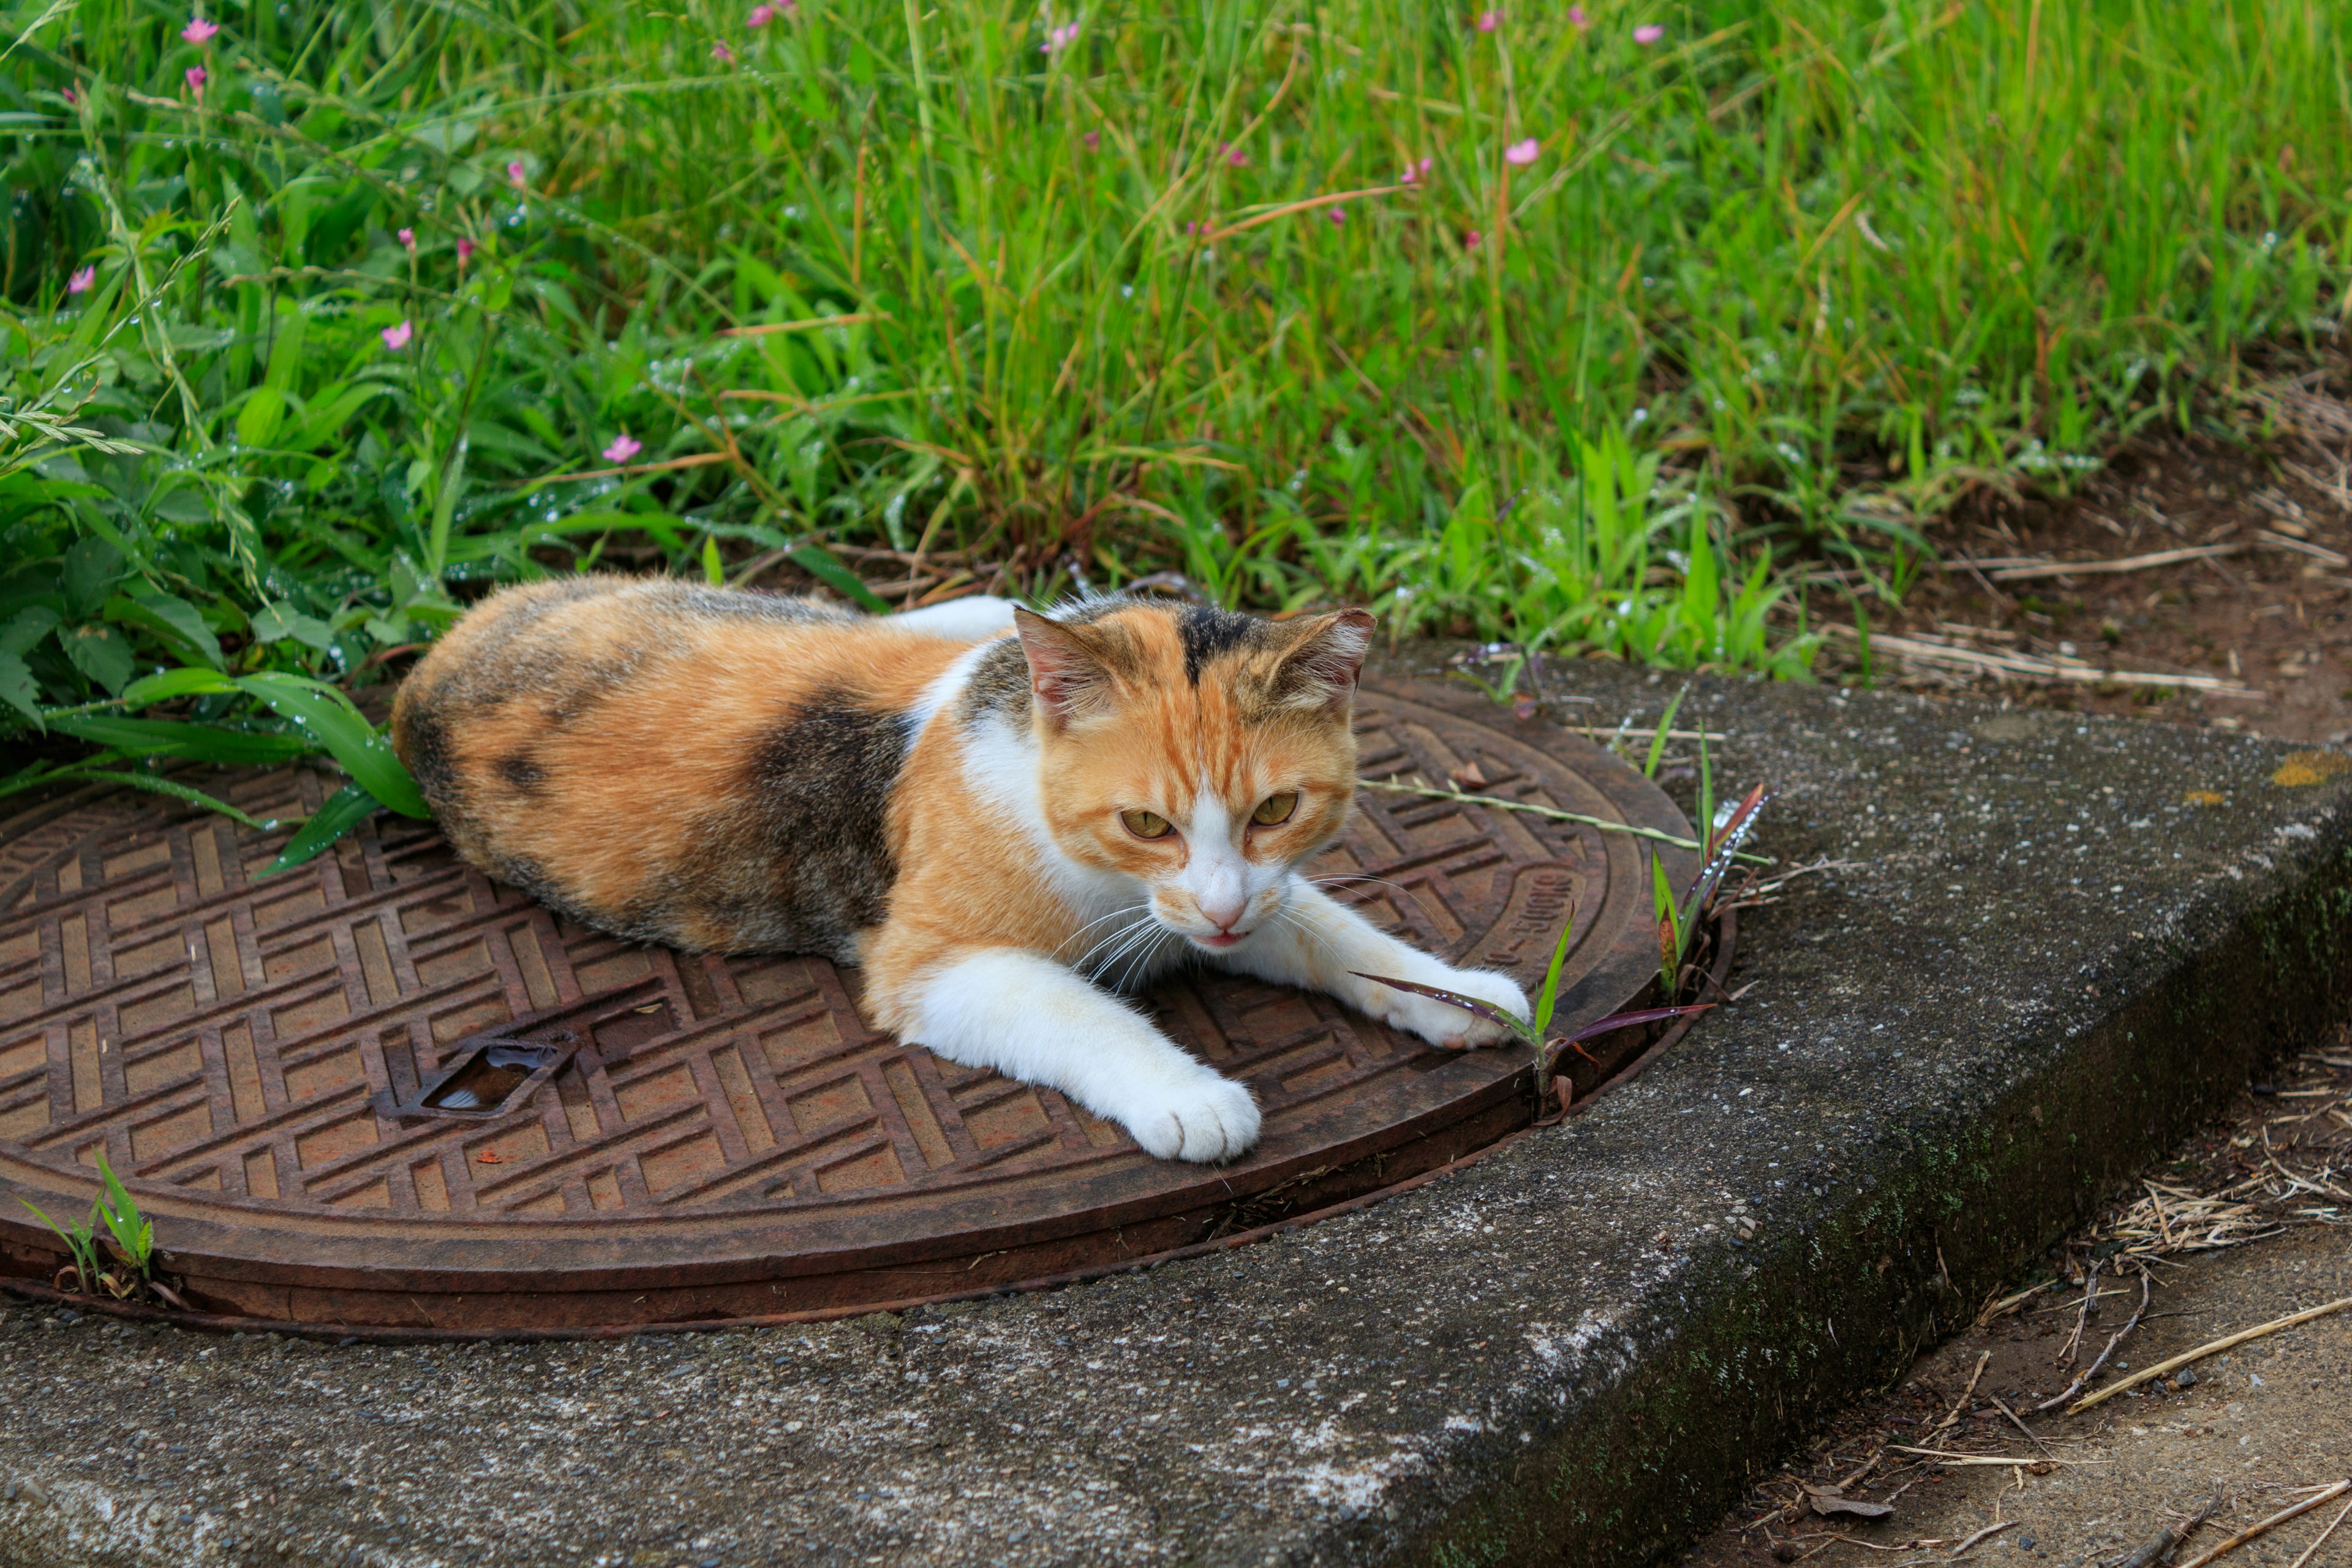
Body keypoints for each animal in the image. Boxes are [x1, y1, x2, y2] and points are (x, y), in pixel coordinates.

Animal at [390, 582, 1524, 1161]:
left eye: (1278, 810)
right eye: (1145, 822)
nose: (1216, 909)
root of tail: (429, 665)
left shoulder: (1247, 893)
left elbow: (1333, 931)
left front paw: (1452, 991)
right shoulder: (931, 965)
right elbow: (1080, 1011)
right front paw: (1188, 1095)